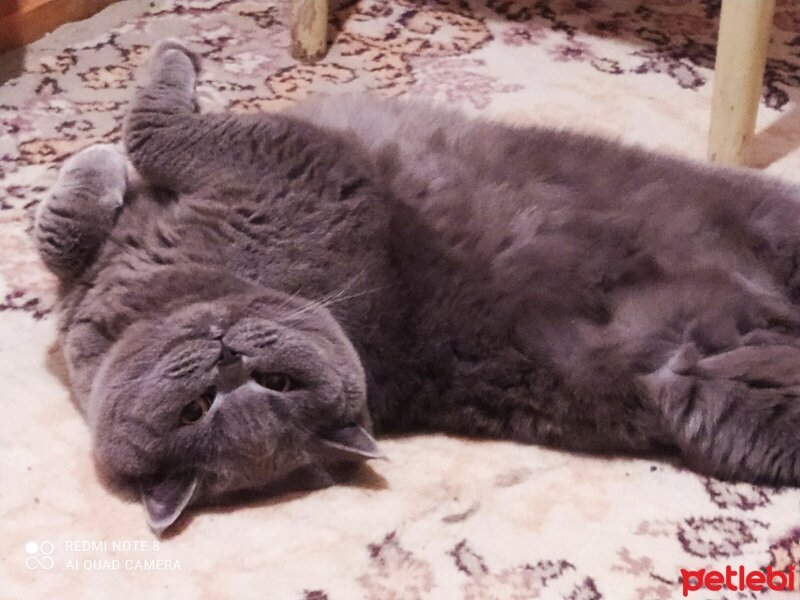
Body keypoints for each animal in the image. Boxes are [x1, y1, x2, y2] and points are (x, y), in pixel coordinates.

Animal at [34, 39, 800, 532]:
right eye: (197, 410)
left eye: (279, 383)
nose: (229, 358)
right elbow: (92, 202)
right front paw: (99, 165)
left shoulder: (283, 161)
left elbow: (127, 159)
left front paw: (129, 117)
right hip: (725, 401)